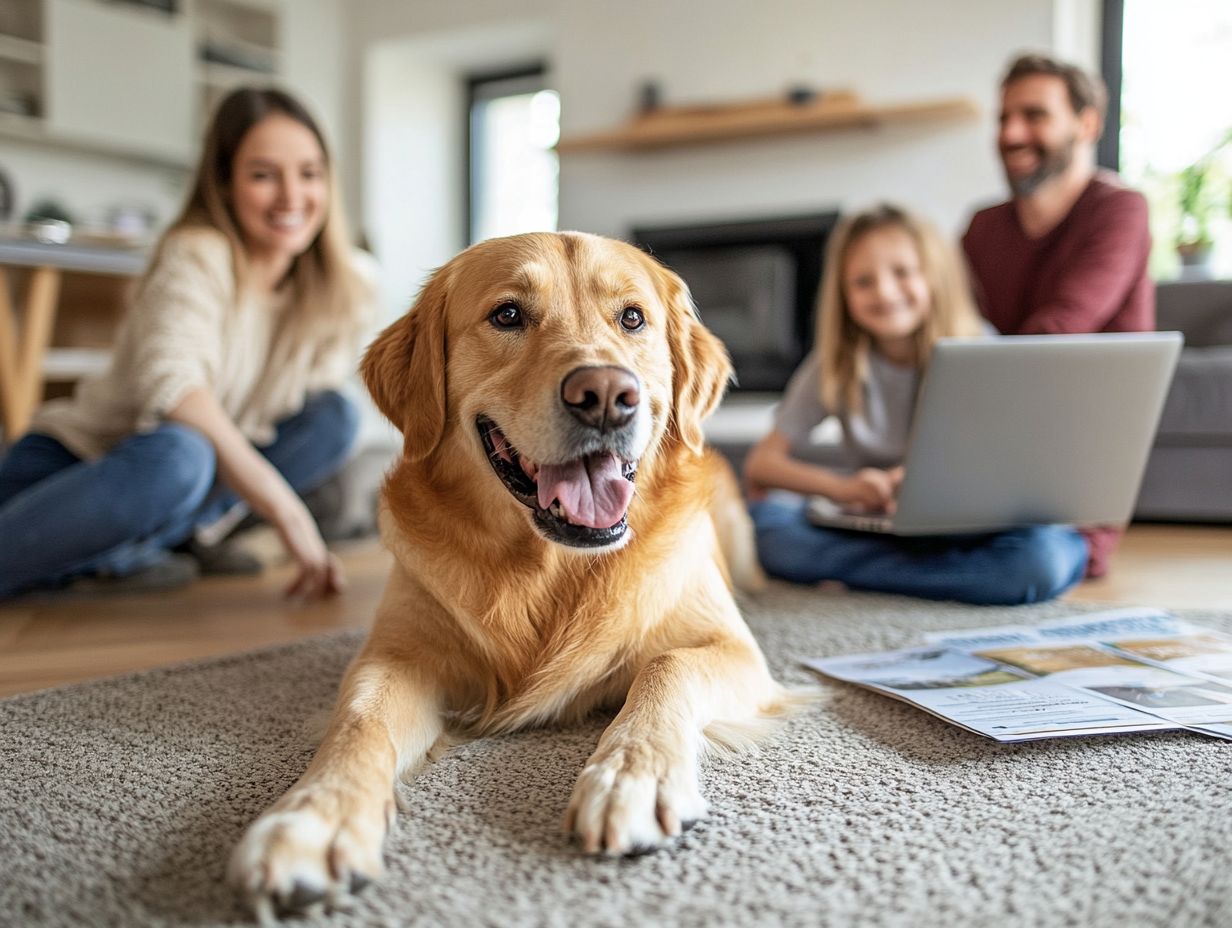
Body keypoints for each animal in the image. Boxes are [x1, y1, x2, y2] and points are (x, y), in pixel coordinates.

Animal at [230, 232, 803, 921]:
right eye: (507, 315)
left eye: (632, 318)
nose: (606, 394)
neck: (546, 566)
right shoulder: (396, 655)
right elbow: (359, 720)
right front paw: (312, 820)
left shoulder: (736, 651)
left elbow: (668, 667)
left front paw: (632, 777)